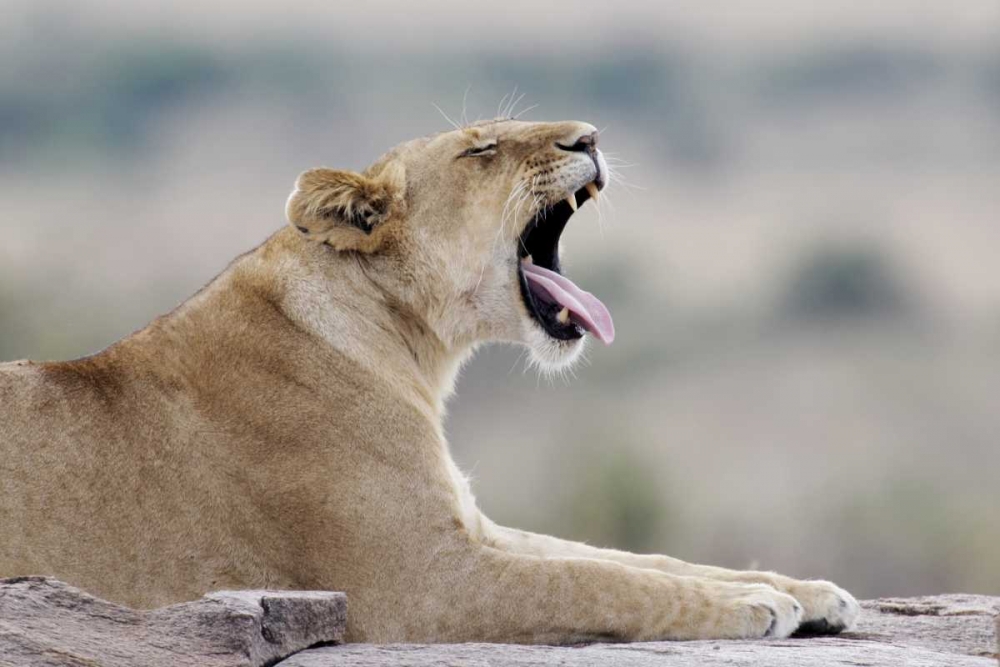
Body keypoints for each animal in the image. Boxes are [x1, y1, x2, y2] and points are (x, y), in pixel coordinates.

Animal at [0, 119, 859, 643]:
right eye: (480, 151)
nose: (590, 134)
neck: (413, 345)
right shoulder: (421, 583)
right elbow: (592, 582)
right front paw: (751, 603)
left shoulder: (471, 525)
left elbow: (633, 557)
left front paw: (809, 590)